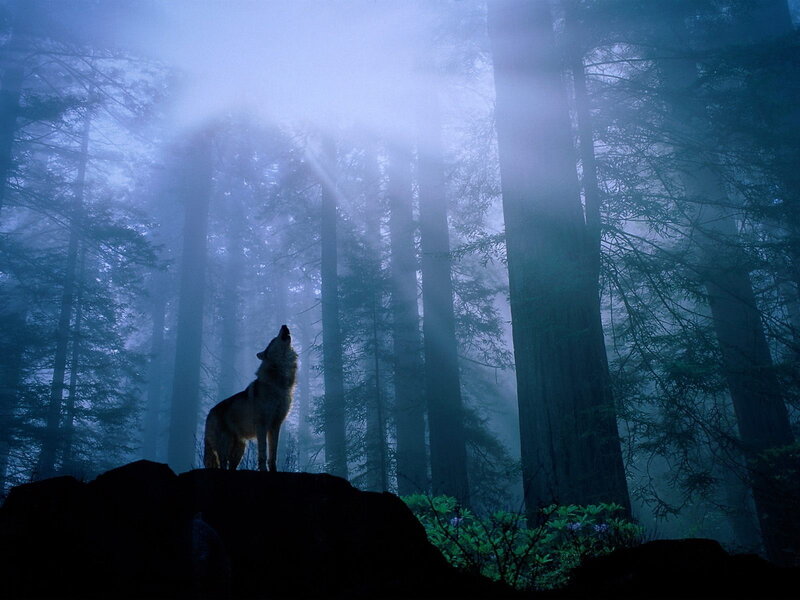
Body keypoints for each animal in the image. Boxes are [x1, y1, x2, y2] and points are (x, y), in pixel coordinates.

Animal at [203, 325, 298, 471]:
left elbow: (273, 455)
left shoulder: (275, 426)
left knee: (231, 467)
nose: (284, 325)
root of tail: (209, 412)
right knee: (223, 464)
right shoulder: (262, 426)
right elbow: (263, 454)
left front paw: (273, 471)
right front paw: (264, 470)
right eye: (273, 340)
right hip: (225, 447)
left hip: (239, 450)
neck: (279, 384)